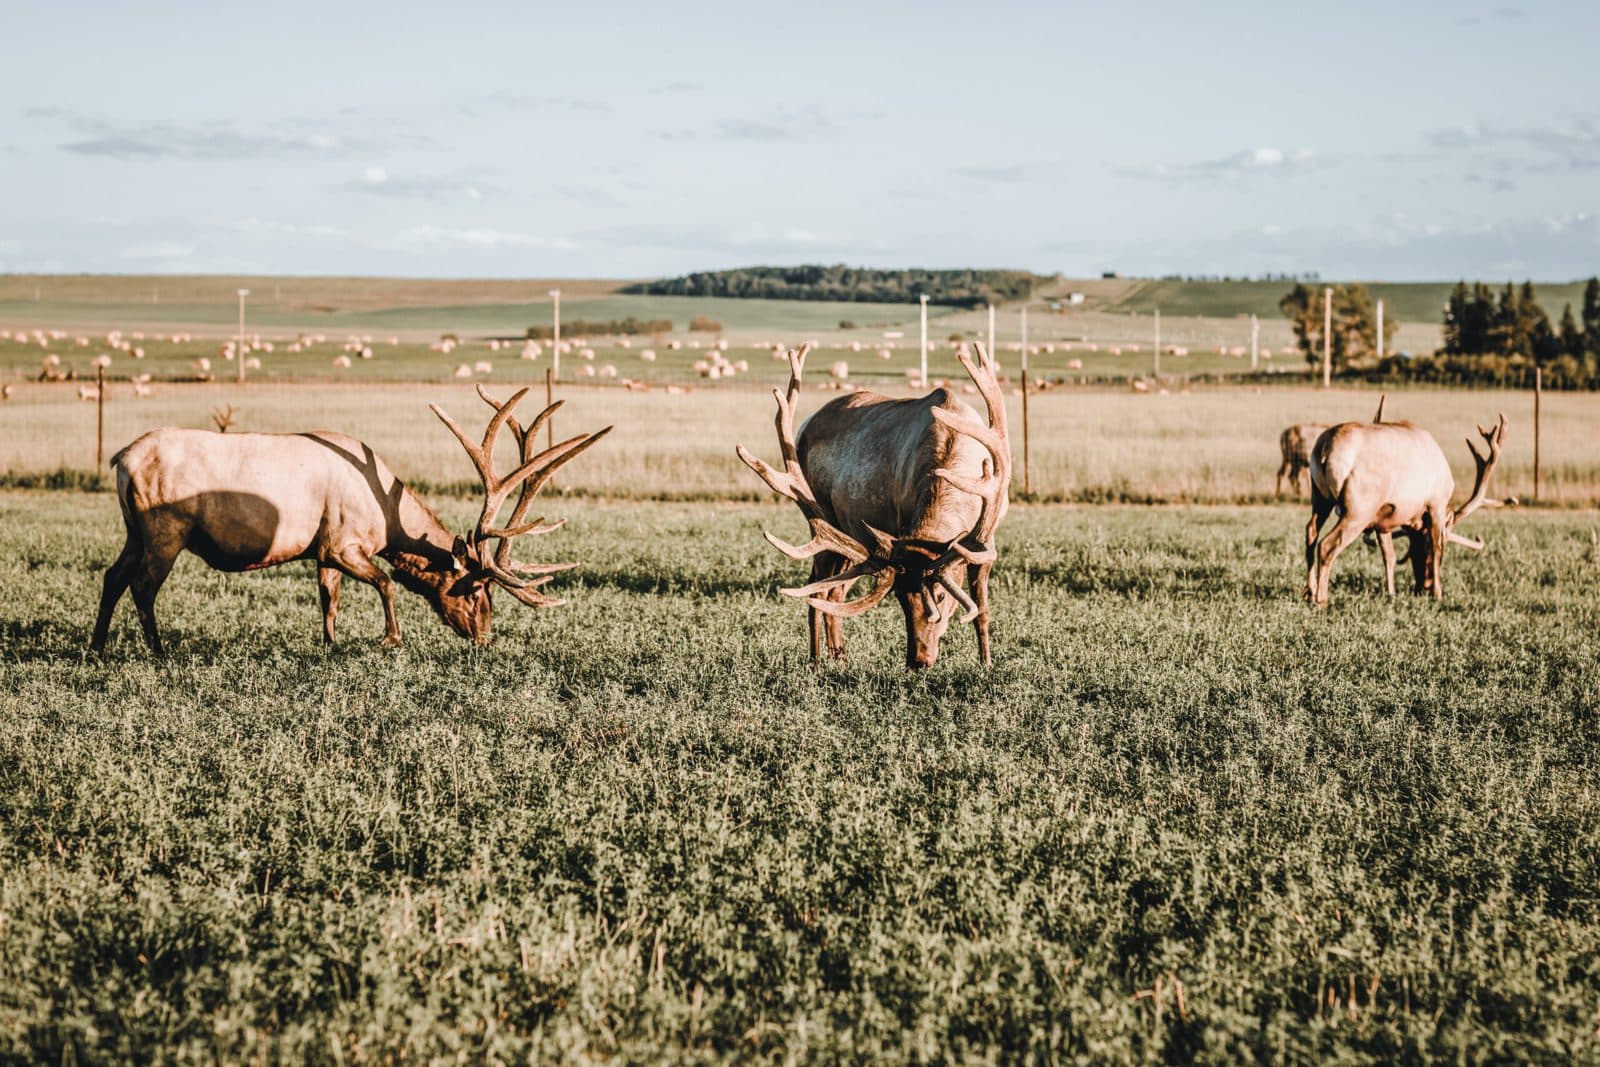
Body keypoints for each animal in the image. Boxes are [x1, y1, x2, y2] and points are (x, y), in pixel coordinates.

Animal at [91, 386, 610, 653]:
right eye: (477, 589)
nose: (485, 637)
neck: (389, 523)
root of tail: (119, 460)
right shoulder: (343, 542)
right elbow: (385, 582)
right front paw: (390, 638)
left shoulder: (320, 549)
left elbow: (330, 601)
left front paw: (331, 645)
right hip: (165, 530)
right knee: (142, 585)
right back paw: (159, 651)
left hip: (134, 531)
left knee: (112, 575)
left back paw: (97, 647)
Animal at [737, 342, 1010, 669]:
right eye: (901, 598)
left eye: (943, 596)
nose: (918, 660)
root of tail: (805, 425)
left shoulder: (986, 541)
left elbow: (982, 611)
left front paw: (986, 663)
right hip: (822, 519)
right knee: (818, 585)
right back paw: (817, 660)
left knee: (834, 591)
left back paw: (839, 657)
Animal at [1305, 409, 1506, 606]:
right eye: (1420, 550)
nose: (1424, 586)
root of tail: (1324, 448)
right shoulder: (1436, 504)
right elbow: (1437, 547)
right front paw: (1438, 594)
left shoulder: (1382, 520)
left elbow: (1390, 556)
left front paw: (1391, 595)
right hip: (1358, 509)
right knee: (1326, 545)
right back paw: (1322, 599)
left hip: (1321, 498)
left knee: (1311, 532)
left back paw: (1309, 591)